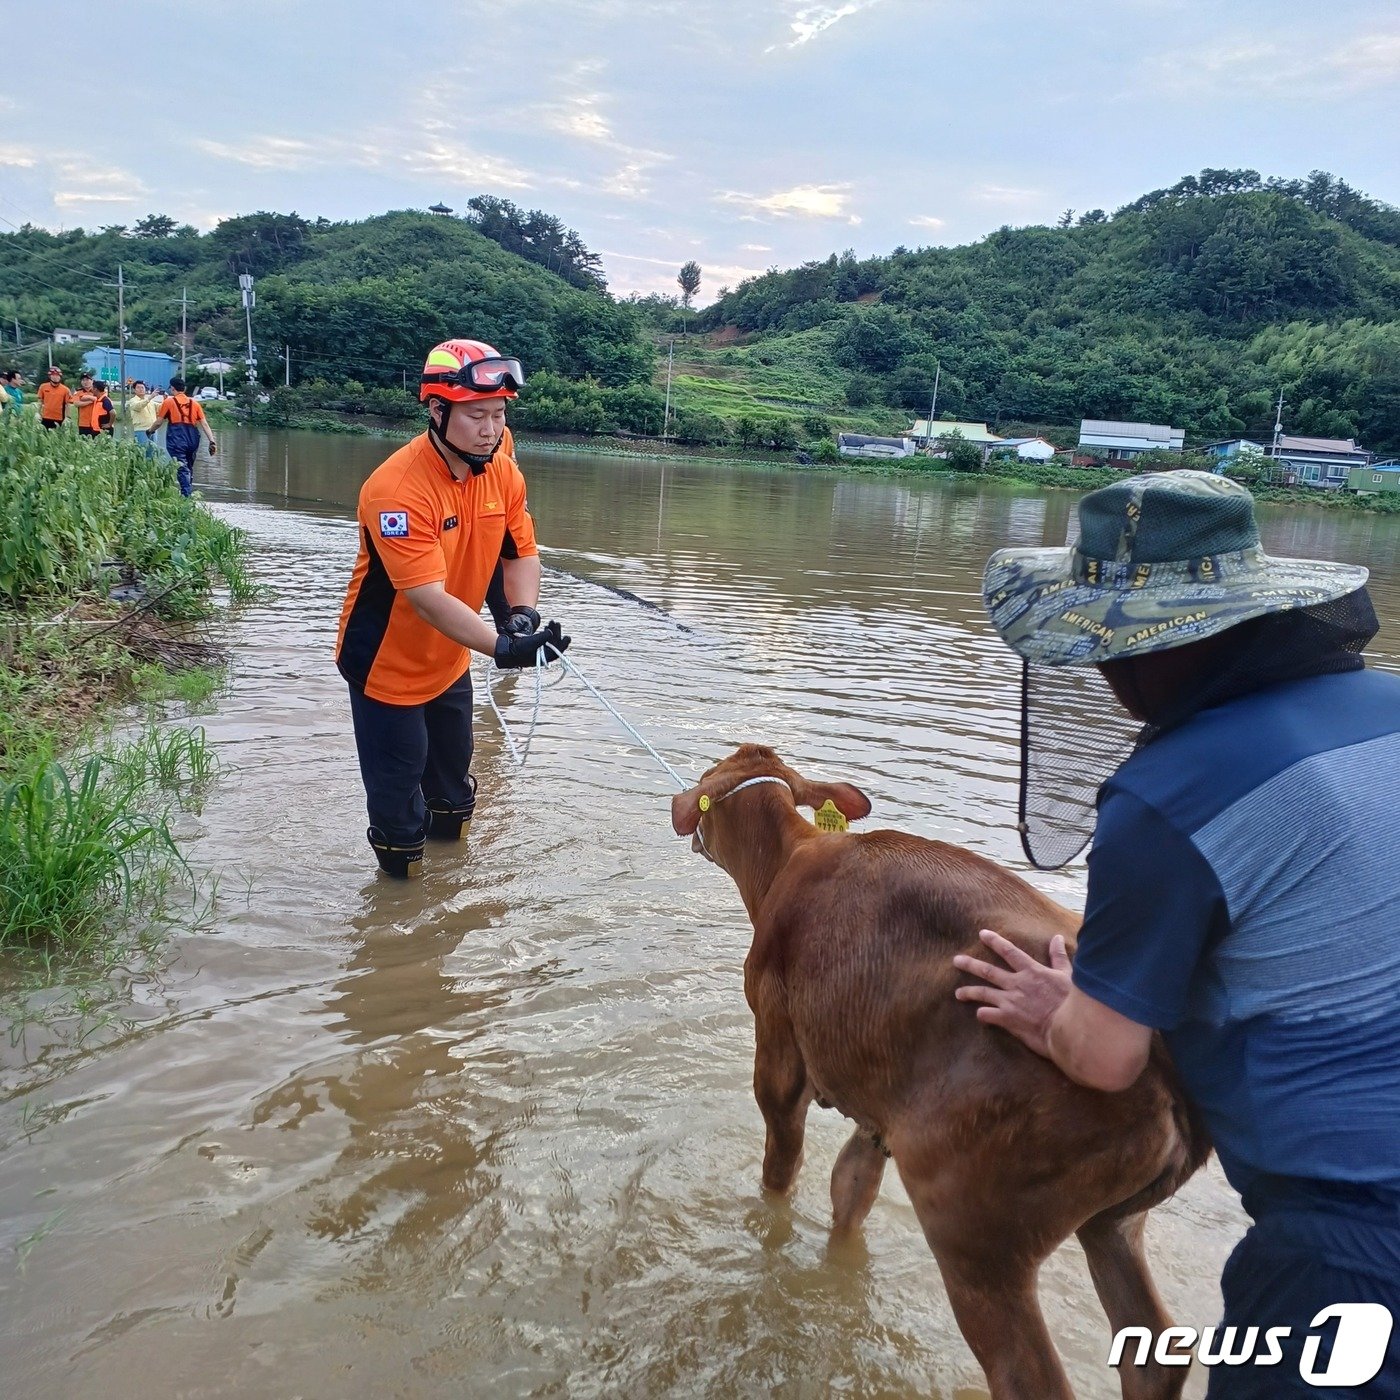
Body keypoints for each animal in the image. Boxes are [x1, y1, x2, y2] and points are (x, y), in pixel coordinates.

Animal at [672, 744, 1209, 1400]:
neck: (785, 861)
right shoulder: (880, 1112)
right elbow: (849, 1193)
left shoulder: (777, 1049)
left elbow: (781, 1172)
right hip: (1113, 1224)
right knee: (1155, 1350)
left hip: (975, 1234)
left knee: (1028, 1373)